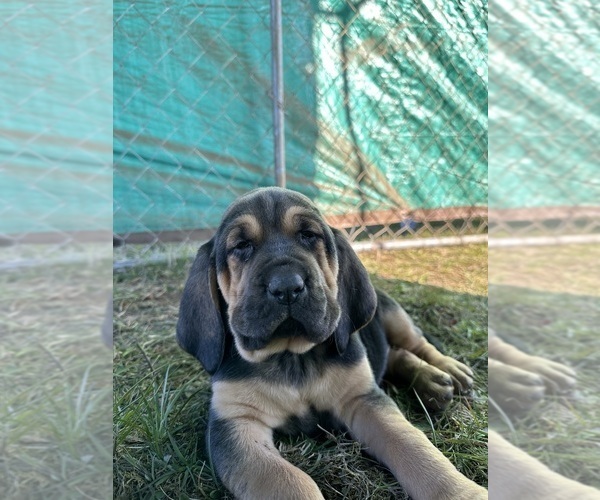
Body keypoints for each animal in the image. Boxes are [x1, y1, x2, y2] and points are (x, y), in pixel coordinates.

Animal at [176, 188, 486, 500]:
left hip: (392, 313)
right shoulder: (235, 422)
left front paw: (462, 492)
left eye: (308, 235)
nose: (286, 287)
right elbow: (289, 481)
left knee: (415, 343)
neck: (292, 357)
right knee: (394, 355)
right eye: (241, 245)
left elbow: (414, 446)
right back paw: (430, 382)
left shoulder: (361, 397)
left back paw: (446, 371)